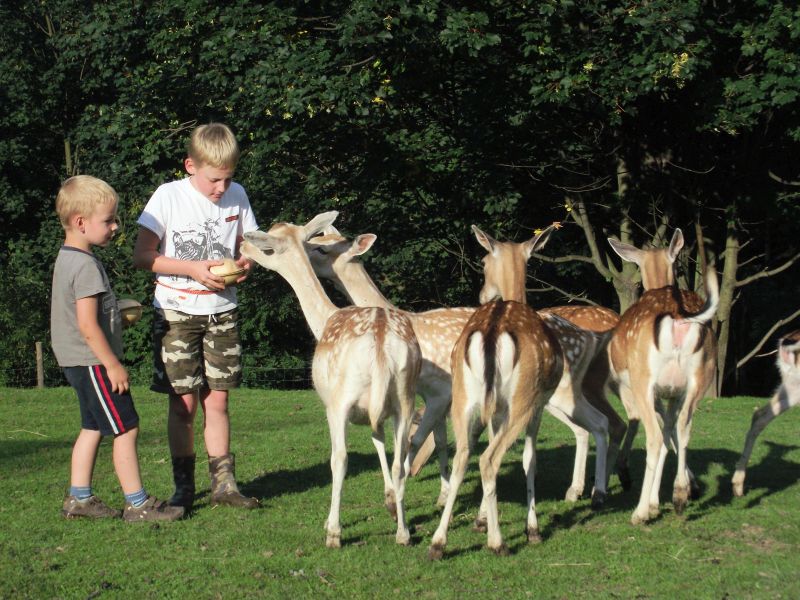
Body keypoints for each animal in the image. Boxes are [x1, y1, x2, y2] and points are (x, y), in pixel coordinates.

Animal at [241, 212, 422, 548]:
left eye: (267, 246)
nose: (244, 246)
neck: (324, 320)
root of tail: (380, 344)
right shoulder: (380, 410)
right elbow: (380, 443)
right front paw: (391, 505)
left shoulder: (334, 402)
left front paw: (334, 527)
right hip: (405, 396)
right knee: (400, 458)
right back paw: (403, 533)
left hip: (340, 400)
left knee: (339, 459)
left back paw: (333, 532)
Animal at [428, 225, 564, 556]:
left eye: (483, 262)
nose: (482, 294)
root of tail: (492, 330)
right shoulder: (538, 405)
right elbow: (530, 459)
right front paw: (532, 529)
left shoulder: (494, 409)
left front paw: (480, 520)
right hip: (522, 398)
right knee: (489, 460)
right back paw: (498, 543)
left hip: (462, 397)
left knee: (464, 457)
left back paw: (437, 543)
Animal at [608, 227, 720, 524]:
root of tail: (678, 319)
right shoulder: (671, 394)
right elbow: (672, 430)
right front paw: (667, 498)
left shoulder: (650, 391)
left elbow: (661, 434)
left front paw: (651, 505)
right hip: (700, 378)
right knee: (684, 428)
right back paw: (679, 496)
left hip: (643, 380)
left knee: (656, 438)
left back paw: (639, 512)